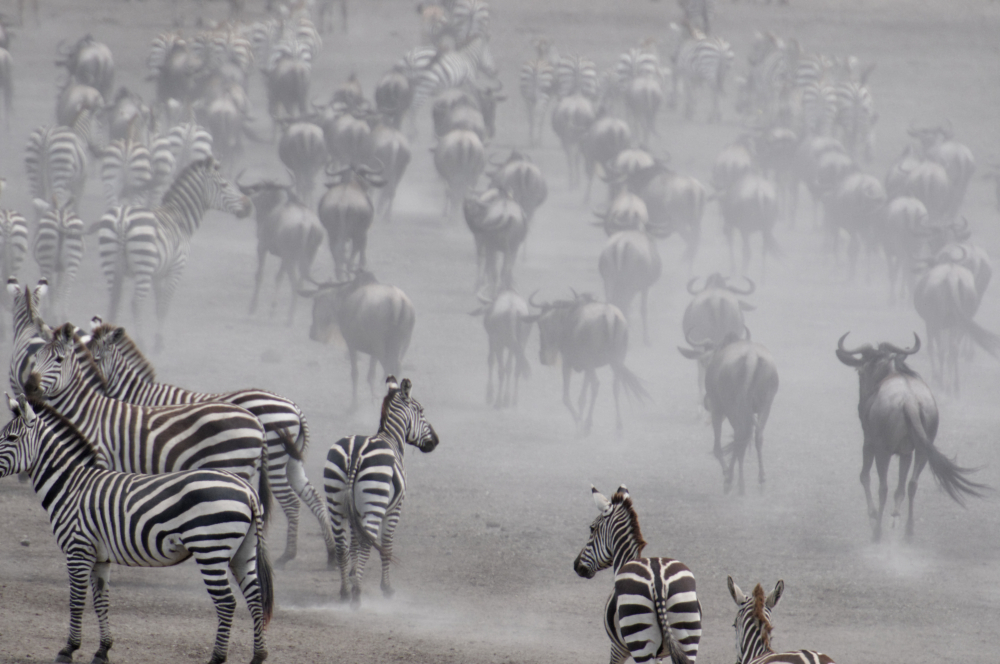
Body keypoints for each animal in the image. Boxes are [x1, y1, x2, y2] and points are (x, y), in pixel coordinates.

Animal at [0, 394, 274, 664]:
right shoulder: (99, 556)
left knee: (227, 602)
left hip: (211, 549)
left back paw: (217, 658)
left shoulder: (78, 550)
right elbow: (100, 602)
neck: (72, 486)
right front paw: (102, 650)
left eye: (11, 438)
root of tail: (247, 490)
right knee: (255, 599)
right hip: (243, 551)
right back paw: (258, 656)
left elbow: (76, 601)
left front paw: (68, 649)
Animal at [86, 320, 336, 568]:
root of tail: (294, 407)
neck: (138, 397)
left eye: (94, 360)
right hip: (291, 460)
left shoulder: (146, 449)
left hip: (273, 458)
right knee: (313, 496)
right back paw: (331, 553)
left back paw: (287, 555)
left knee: (292, 502)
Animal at [94, 158, 252, 350]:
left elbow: (158, 304)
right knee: (136, 303)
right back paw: (141, 342)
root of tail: (123, 217)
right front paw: (158, 342)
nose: (249, 206)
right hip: (144, 267)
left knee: (114, 301)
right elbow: (164, 305)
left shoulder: (158, 273)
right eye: (224, 185)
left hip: (110, 263)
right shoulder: (177, 267)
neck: (180, 217)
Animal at [326, 376, 440, 604]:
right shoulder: (395, 509)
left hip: (335, 504)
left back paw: (345, 592)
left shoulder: (355, 511)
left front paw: (353, 573)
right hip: (375, 504)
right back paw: (357, 595)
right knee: (368, 544)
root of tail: (355, 453)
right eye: (421, 411)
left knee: (342, 545)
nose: (436, 441)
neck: (391, 437)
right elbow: (386, 546)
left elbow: (354, 542)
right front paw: (386, 588)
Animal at [572, 482, 704, 664]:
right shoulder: (659, 656)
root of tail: (658, 580)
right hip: (687, 633)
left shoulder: (617, 648)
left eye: (592, 529)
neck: (625, 560)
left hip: (639, 639)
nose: (576, 565)